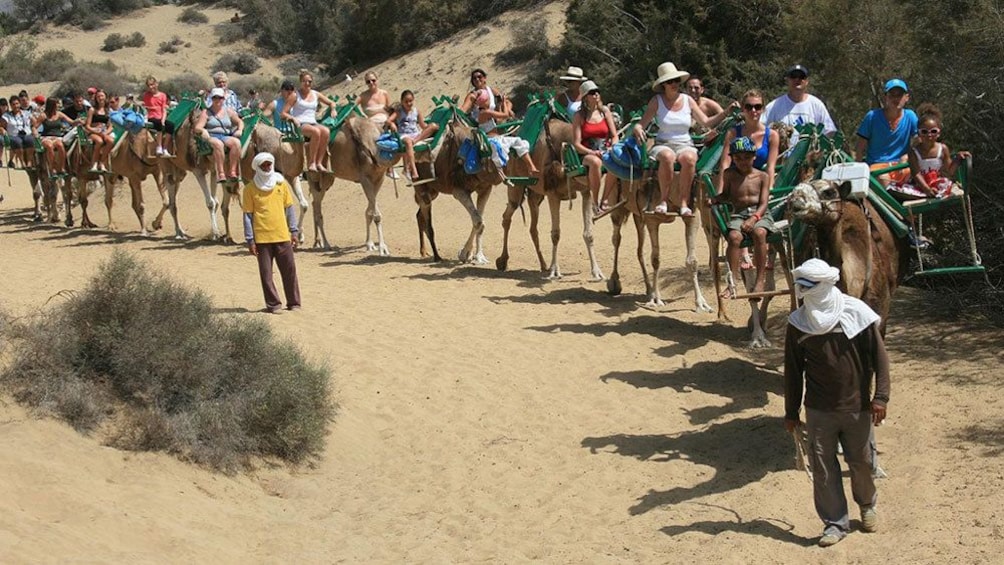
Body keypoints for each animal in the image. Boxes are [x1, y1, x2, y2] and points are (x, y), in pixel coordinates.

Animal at [493, 118, 602, 280]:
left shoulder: (585, 191)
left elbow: (589, 234)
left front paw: (597, 272)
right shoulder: (552, 194)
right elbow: (555, 234)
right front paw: (555, 271)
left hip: (536, 195)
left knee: (533, 227)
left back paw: (544, 264)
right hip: (515, 184)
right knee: (507, 216)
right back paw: (503, 260)